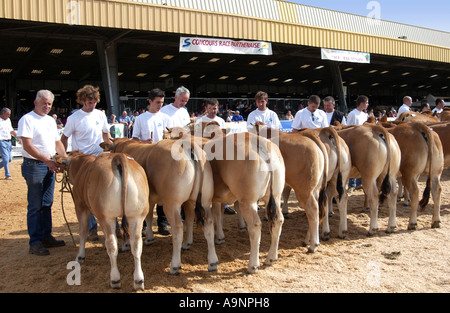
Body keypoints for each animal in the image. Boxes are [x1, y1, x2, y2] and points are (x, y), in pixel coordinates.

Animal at [52, 151, 148, 290]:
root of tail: (118, 157)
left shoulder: (80, 207)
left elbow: (83, 232)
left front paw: (80, 256)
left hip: (106, 218)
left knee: (112, 245)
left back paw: (115, 279)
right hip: (137, 216)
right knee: (136, 245)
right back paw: (138, 280)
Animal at [100, 138, 218, 274]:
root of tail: (187, 144)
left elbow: (143, 219)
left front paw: (135, 242)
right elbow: (152, 216)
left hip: (172, 204)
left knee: (177, 228)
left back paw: (175, 265)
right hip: (203, 201)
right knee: (206, 223)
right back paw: (211, 261)